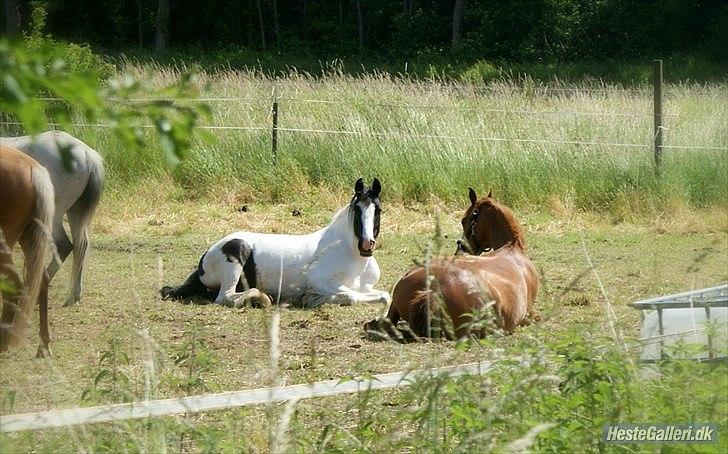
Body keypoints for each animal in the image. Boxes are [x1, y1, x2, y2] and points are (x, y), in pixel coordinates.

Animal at [161, 179, 390, 310]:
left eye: (378, 210)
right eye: (357, 209)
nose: (367, 245)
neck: (350, 255)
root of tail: (205, 258)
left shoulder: (367, 287)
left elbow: (384, 296)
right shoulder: (322, 280)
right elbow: (350, 295)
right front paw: (312, 299)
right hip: (236, 256)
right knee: (225, 297)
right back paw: (262, 298)